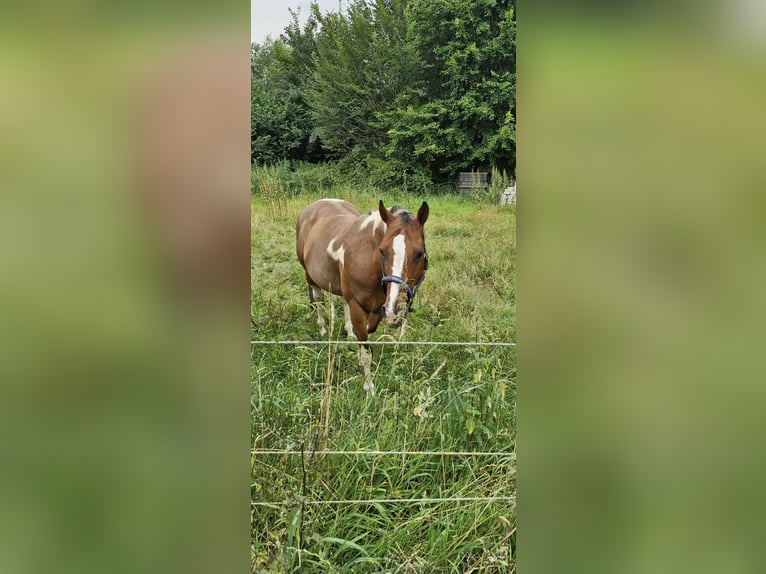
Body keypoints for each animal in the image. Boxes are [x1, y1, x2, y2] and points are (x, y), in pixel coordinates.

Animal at [298, 200, 432, 394]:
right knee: (318, 300)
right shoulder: (358, 306)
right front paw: (369, 387)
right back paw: (322, 327)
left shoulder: (378, 307)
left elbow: (369, 333)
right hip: (310, 276)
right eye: (382, 251)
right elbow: (366, 349)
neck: (369, 260)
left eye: (419, 253)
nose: (395, 312)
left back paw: (348, 331)